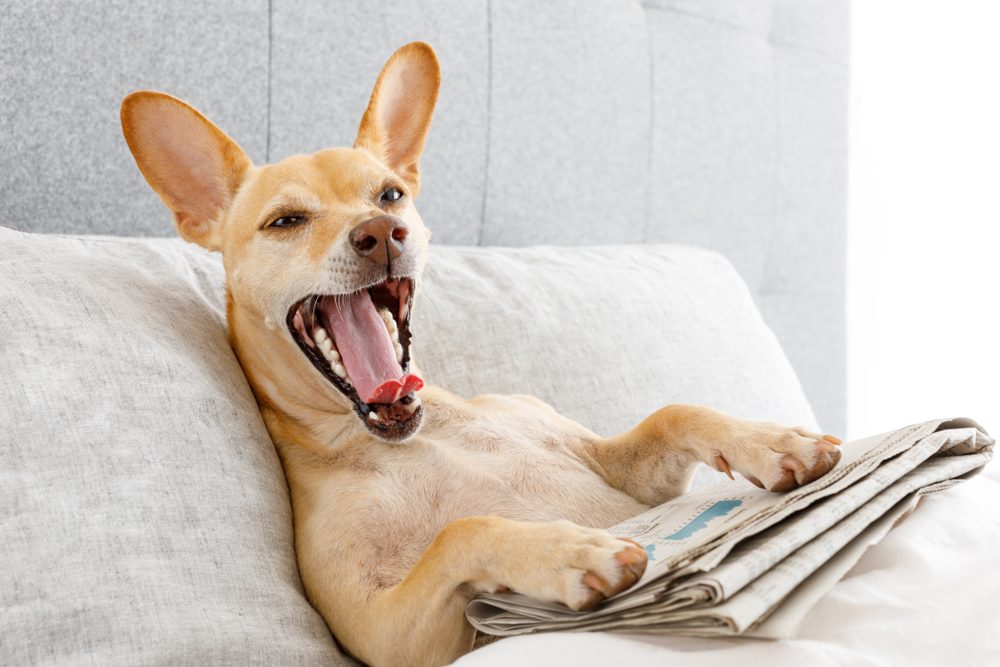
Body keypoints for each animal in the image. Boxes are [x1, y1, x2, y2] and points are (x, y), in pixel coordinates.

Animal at [121, 41, 844, 667]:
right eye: (285, 221)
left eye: (390, 194)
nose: (382, 231)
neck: (411, 435)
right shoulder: (393, 638)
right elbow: (462, 532)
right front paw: (565, 548)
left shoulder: (635, 483)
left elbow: (675, 412)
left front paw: (773, 441)